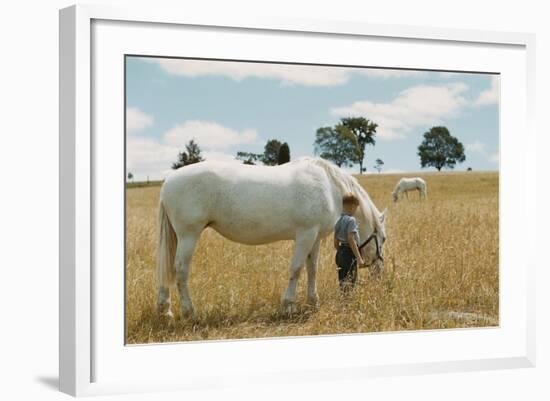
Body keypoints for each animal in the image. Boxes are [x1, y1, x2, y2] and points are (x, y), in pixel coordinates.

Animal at [155, 156, 388, 316]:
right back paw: (189, 312)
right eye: (383, 239)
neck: (329, 187)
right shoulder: (305, 235)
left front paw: (313, 301)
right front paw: (289, 305)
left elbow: (312, 269)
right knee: (180, 270)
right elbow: (296, 269)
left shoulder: (315, 238)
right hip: (188, 235)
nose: (380, 272)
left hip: (178, 237)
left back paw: (165, 310)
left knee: (167, 268)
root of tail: (168, 182)